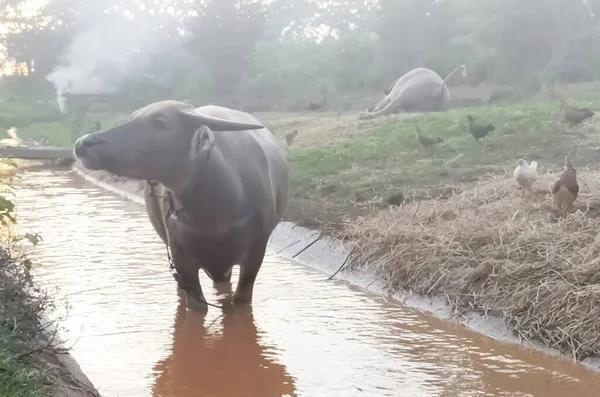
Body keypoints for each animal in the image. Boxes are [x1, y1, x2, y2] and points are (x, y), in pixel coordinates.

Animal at [74, 100, 290, 310]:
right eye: (131, 118)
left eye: (159, 122)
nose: (83, 143)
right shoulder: (180, 256)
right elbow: (197, 307)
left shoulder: (255, 254)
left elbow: (240, 301)